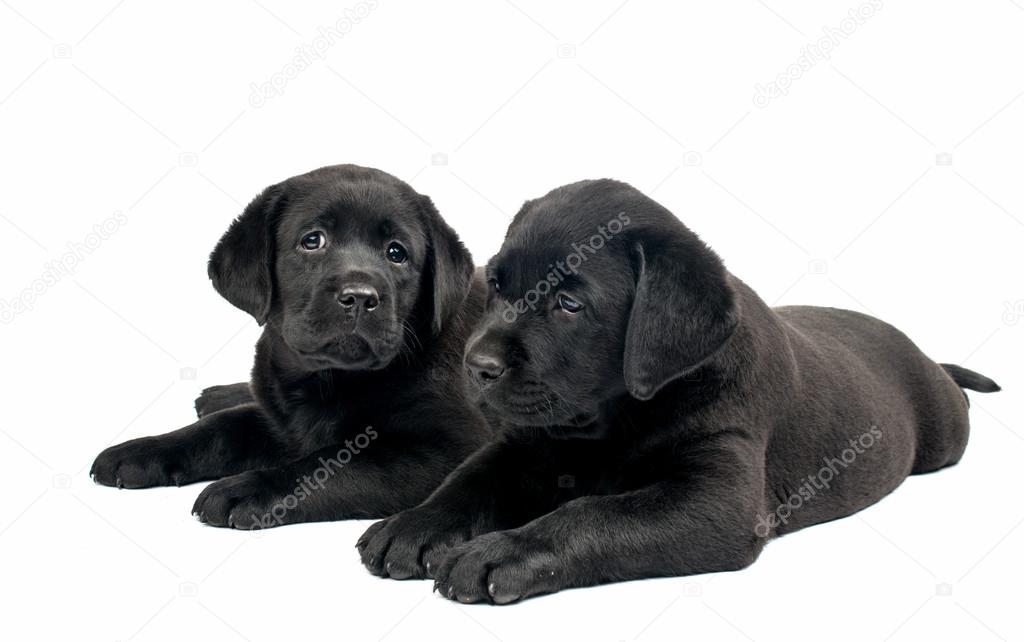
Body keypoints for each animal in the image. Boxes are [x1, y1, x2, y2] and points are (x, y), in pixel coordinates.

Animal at [90, 164, 489, 528]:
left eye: (396, 253)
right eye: (312, 241)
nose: (360, 297)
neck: (329, 378)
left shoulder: (447, 448)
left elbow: (330, 463)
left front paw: (249, 488)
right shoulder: (278, 421)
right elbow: (221, 429)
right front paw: (144, 449)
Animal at [360, 178, 999, 606]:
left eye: (569, 303)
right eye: (495, 284)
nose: (477, 366)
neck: (613, 423)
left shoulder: (718, 498)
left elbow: (592, 514)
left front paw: (500, 551)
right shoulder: (521, 444)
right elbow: (466, 479)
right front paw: (414, 525)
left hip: (943, 431)